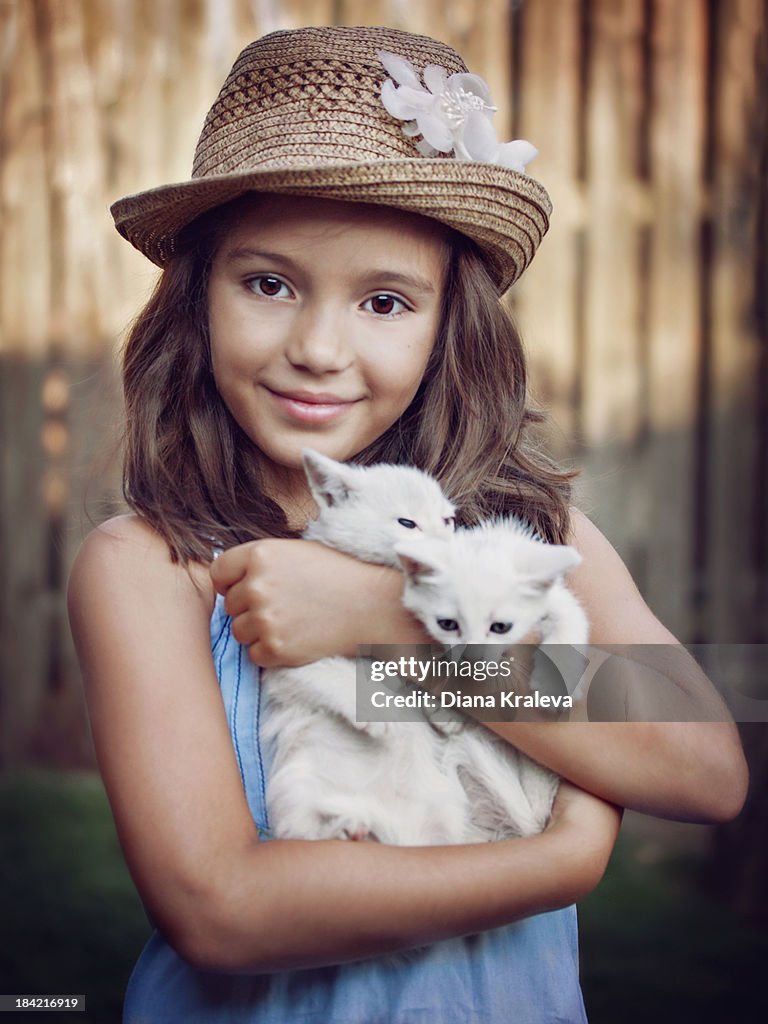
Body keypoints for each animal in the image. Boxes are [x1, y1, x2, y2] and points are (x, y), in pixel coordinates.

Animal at [260, 452, 468, 843]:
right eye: (407, 523)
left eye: (448, 521)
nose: (450, 553)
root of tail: (395, 832)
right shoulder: (284, 659)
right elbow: (337, 673)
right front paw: (376, 710)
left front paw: (448, 709)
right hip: (298, 781)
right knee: (298, 827)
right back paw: (344, 825)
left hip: (447, 814)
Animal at [397, 520, 589, 839]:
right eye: (447, 624)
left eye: (501, 627)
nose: (472, 662)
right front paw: (445, 708)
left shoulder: (556, 599)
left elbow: (569, 621)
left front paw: (554, 685)